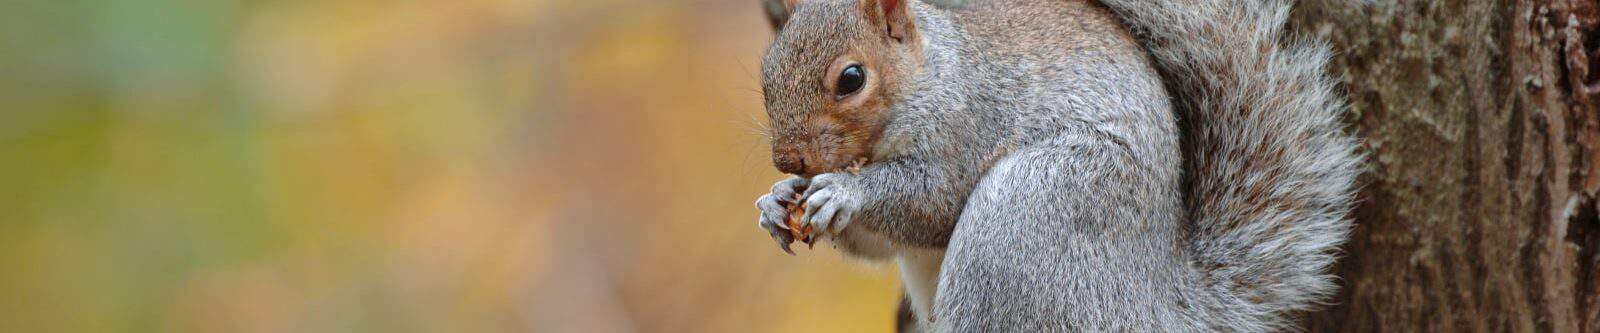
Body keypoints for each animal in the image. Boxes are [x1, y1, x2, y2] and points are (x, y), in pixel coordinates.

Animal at [752, 0, 1363, 329]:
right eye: (766, 69)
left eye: (852, 79)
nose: (787, 158)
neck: (932, 74)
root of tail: (1163, 307)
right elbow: (879, 245)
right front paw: (777, 199)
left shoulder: (972, 123)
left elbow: (932, 202)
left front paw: (845, 193)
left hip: (1029, 217)